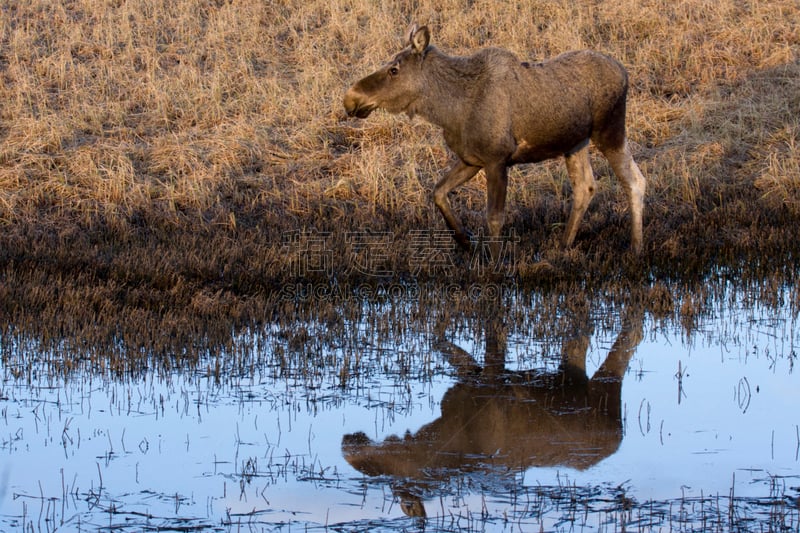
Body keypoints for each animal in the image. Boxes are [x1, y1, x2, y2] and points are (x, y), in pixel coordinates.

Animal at [342, 26, 644, 255]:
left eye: (394, 69)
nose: (350, 98)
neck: (449, 110)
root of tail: (625, 72)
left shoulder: (497, 159)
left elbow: (495, 217)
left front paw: (495, 263)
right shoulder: (471, 159)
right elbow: (438, 192)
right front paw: (465, 241)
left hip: (610, 130)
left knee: (635, 181)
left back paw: (635, 248)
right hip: (575, 143)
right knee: (585, 187)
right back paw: (564, 244)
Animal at [342, 306, 644, 516]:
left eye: (373, 468)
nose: (346, 444)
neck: (438, 433)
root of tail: (618, 433)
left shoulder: (489, 380)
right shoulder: (471, 376)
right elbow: (439, 340)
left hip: (604, 388)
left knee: (629, 338)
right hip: (572, 376)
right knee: (581, 336)